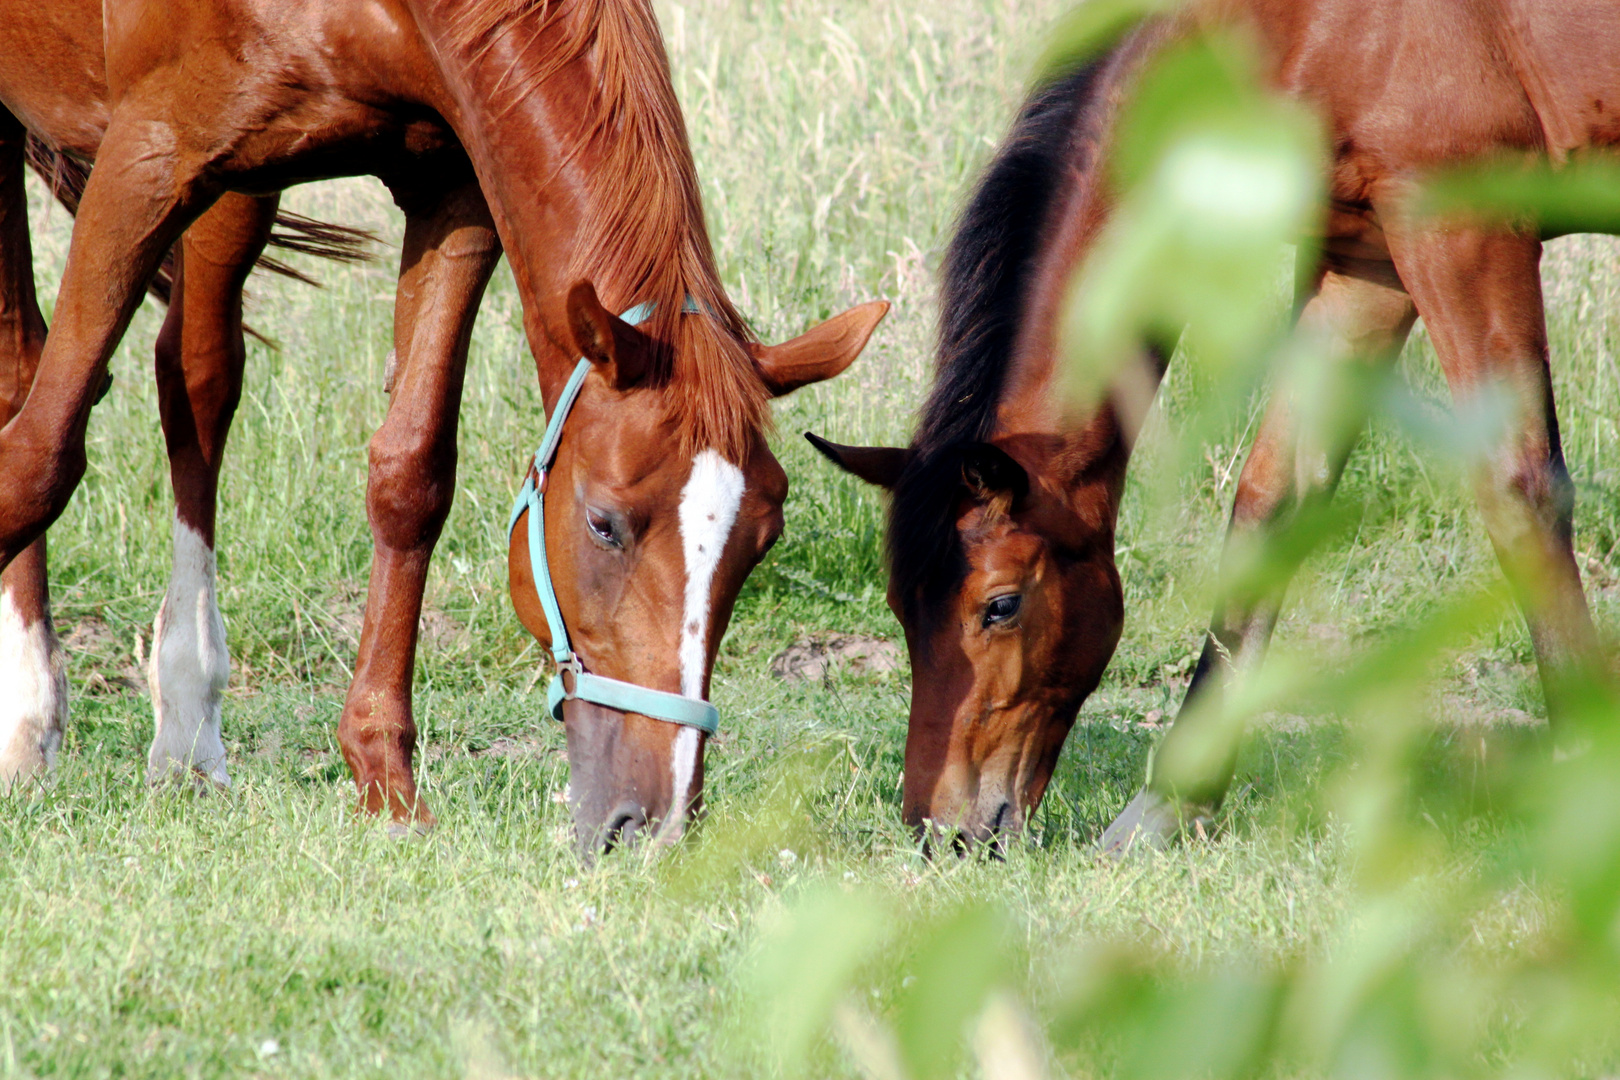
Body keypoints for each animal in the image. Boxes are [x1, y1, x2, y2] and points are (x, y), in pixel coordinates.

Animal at [0, 0, 887, 861]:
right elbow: (43, 455)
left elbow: (412, 471)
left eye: (763, 541)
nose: (655, 826)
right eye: (604, 524)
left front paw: (384, 781)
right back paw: (34, 719)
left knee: (163, 370)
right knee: (46, 375)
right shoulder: (153, 154)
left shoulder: (449, 187)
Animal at [816, 6, 1620, 854]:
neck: (1305, 30)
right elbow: (1274, 499)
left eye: (999, 606)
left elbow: (1519, 484)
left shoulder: (1463, 228)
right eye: (902, 607)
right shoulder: (1365, 261)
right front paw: (1170, 803)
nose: (943, 832)